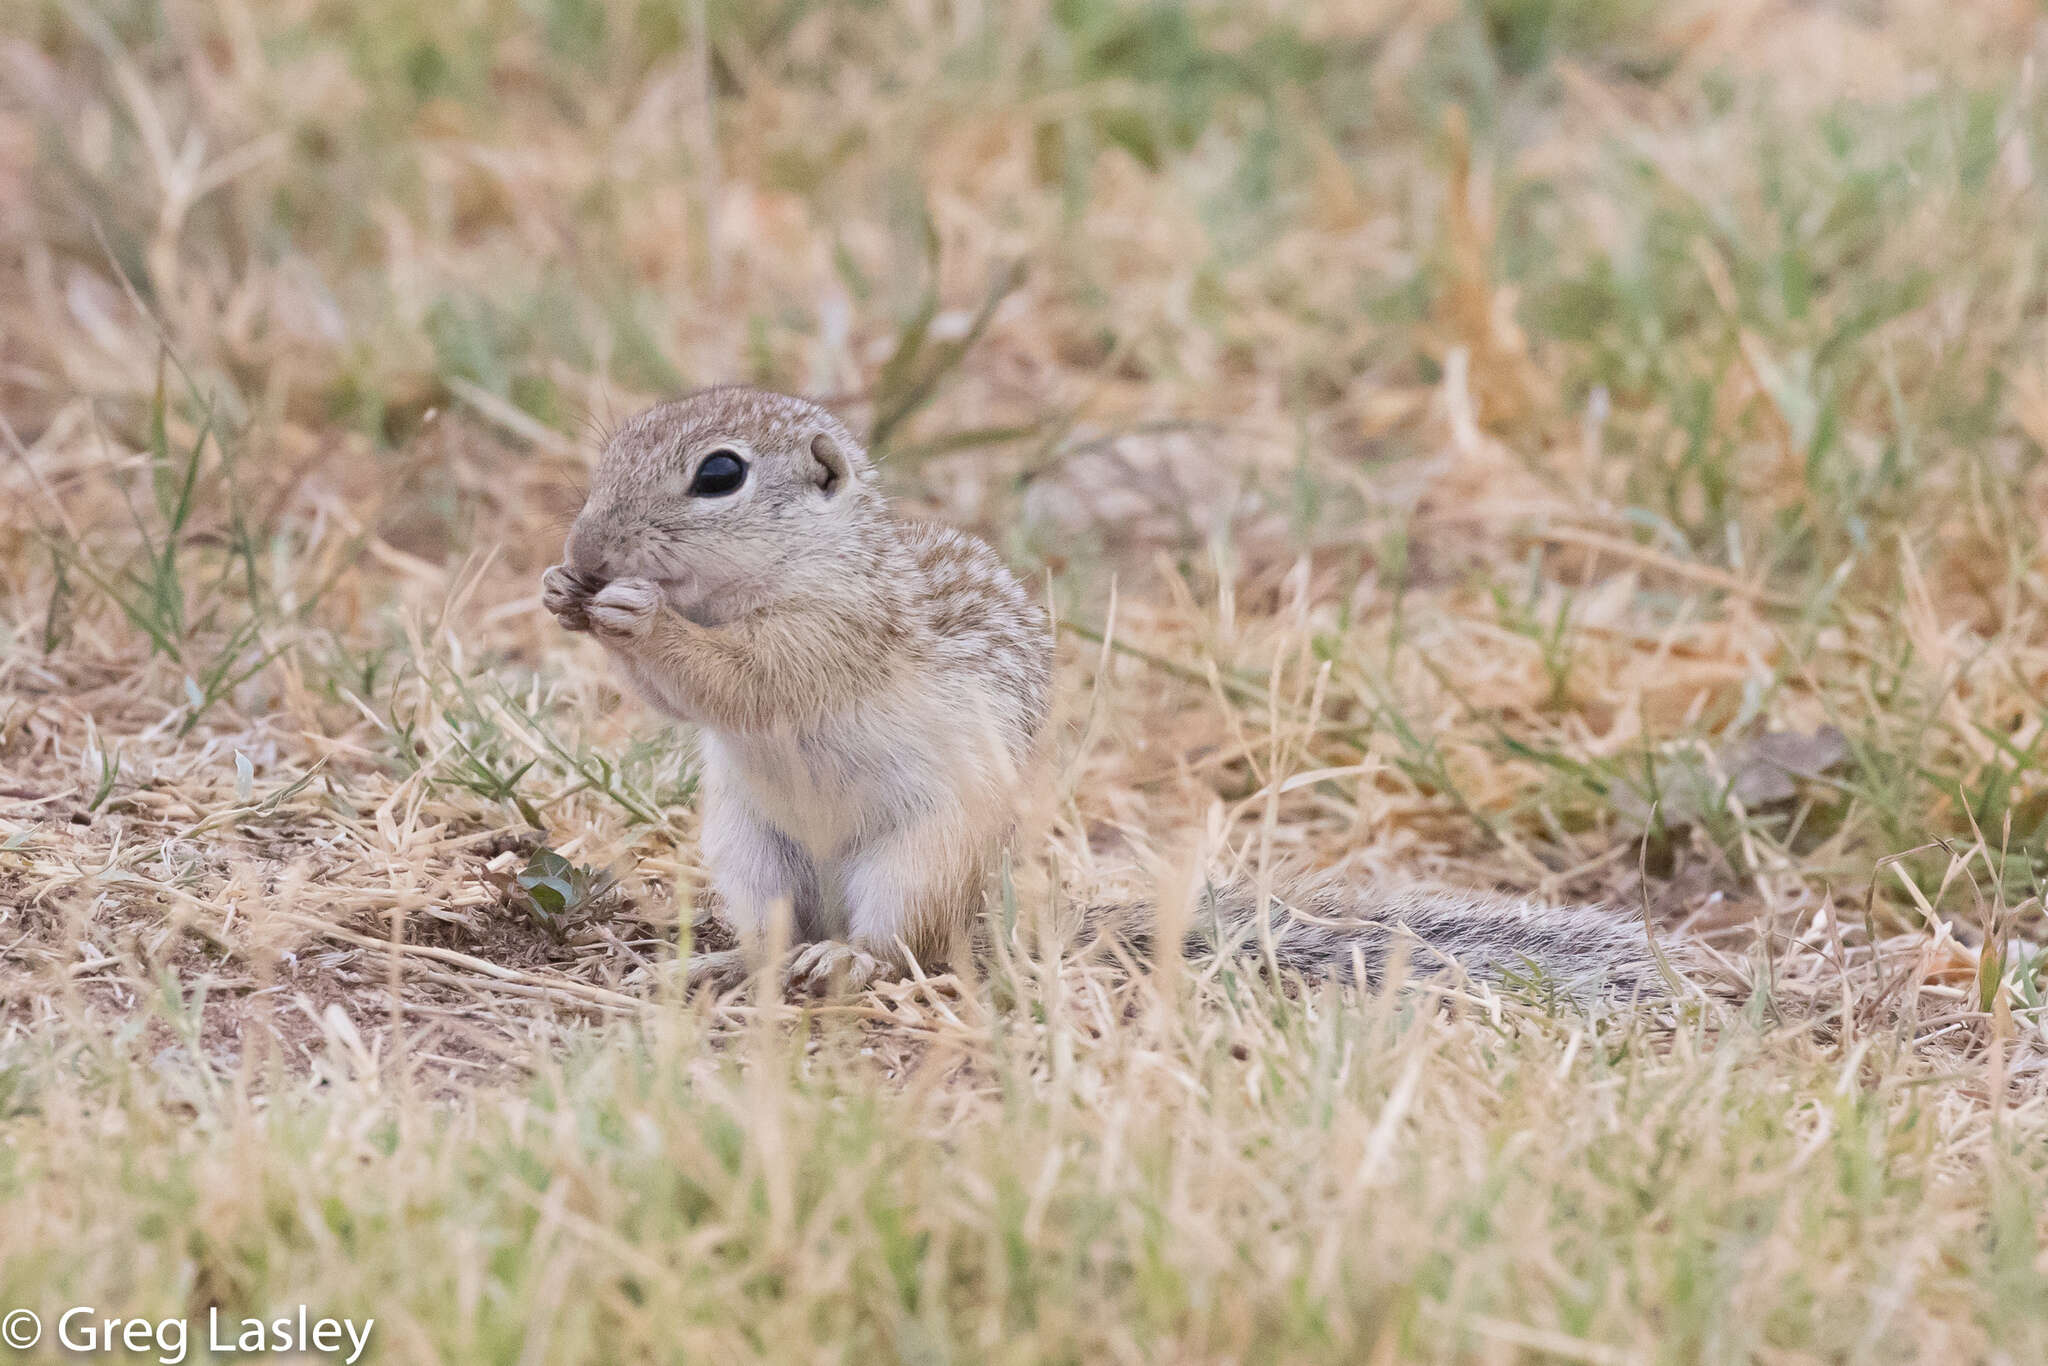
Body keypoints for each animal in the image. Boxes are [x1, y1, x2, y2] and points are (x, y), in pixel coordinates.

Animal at [544, 389, 1679, 999]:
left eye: (719, 475)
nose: (585, 549)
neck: (797, 570)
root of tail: (986, 919)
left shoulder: (834, 634)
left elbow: (743, 680)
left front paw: (642, 618)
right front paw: (562, 593)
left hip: (914, 862)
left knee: (905, 950)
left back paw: (850, 962)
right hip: (750, 855)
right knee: (769, 940)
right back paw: (714, 970)